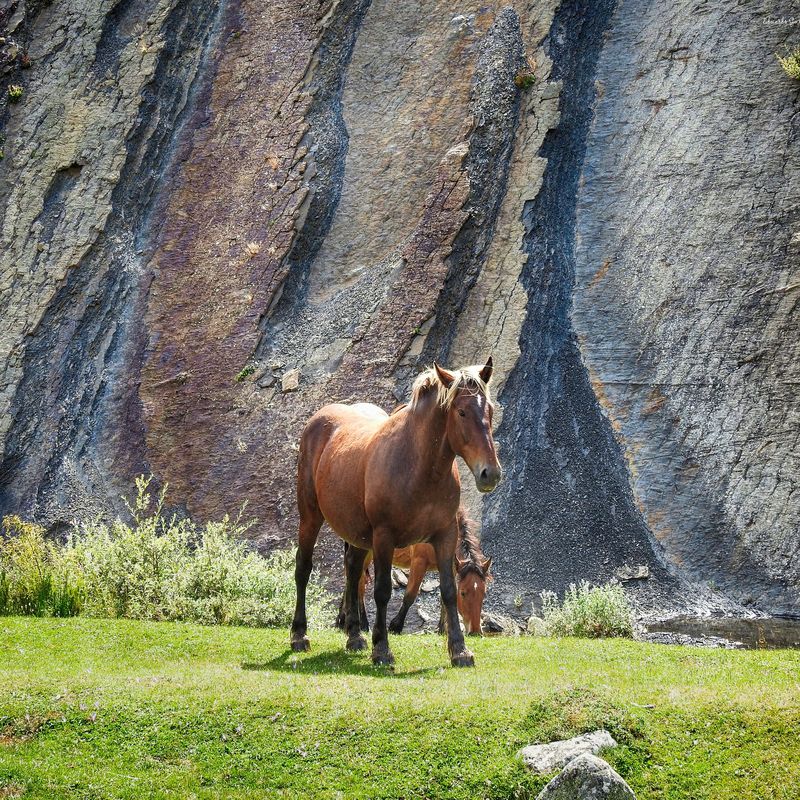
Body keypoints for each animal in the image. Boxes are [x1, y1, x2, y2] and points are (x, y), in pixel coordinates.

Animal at [334, 512, 490, 636]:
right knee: (358, 583)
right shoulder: (419, 562)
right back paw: (362, 623)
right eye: (463, 593)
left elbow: (444, 597)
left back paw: (342, 620)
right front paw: (396, 626)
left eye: (483, 593)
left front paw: (442, 629)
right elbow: (410, 595)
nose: (476, 631)